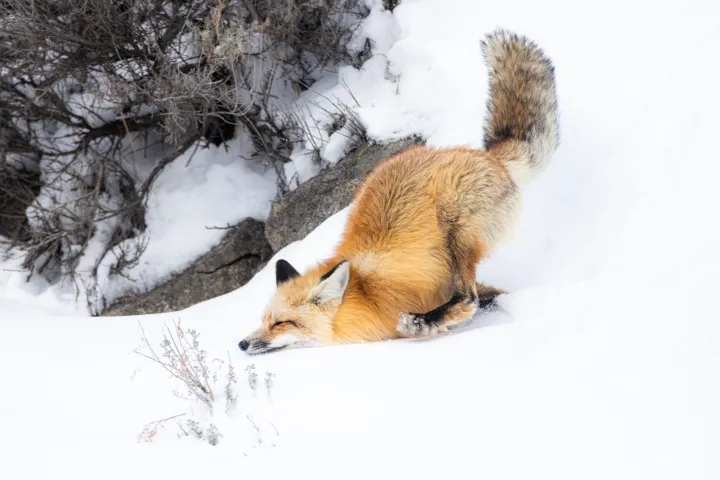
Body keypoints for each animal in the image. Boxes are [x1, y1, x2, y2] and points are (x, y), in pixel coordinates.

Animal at [239, 29, 559, 355]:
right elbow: (494, 295)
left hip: (456, 228)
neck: (365, 294)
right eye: (265, 320)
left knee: (467, 298)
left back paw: (424, 321)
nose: (241, 343)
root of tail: (487, 156)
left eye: (282, 323)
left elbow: (474, 301)